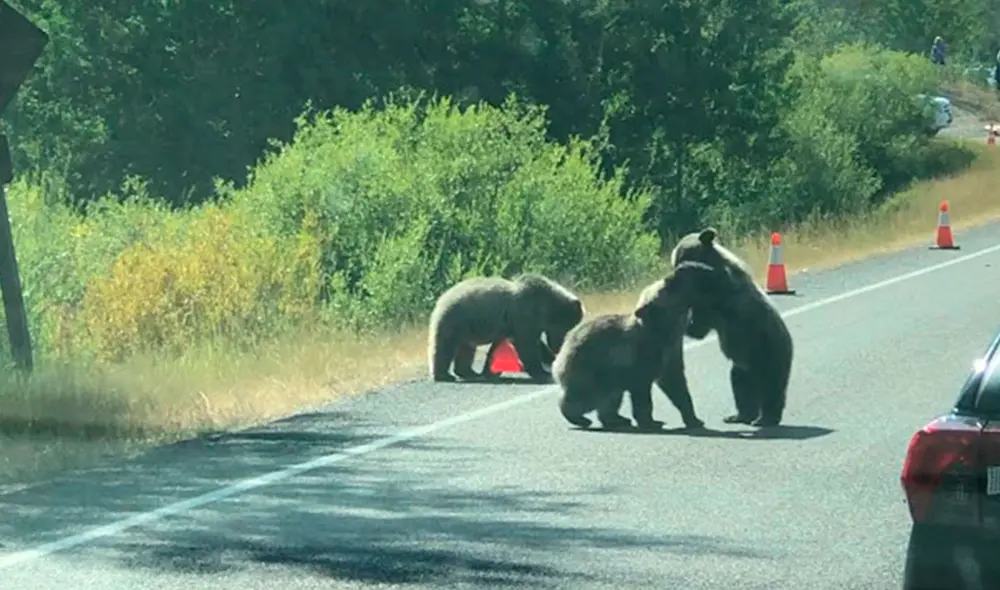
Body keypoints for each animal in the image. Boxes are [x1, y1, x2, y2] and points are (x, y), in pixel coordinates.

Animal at [427, 273, 584, 383]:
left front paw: (489, 371)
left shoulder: (511, 326)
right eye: (568, 328)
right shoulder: (523, 317)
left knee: (466, 349)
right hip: (454, 319)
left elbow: (500, 347)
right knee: (444, 346)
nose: (559, 347)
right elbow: (527, 345)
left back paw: (469, 372)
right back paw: (444, 375)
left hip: (468, 328)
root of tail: (442, 297)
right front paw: (543, 373)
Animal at [554, 260, 730, 430]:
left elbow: (676, 384)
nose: (675, 272)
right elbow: (642, 391)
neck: (664, 331)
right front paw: (650, 421)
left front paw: (694, 419)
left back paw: (617, 419)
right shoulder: (642, 355)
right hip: (592, 368)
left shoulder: (671, 351)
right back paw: (579, 417)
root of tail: (563, 348)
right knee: (586, 396)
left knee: (611, 398)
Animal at [669, 227, 794, 427]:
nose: (675, 272)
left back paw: (766, 418)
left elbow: (723, 282)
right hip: (744, 365)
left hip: (769, 350)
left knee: (773, 387)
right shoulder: (703, 309)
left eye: (680, 257)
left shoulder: (728, 288)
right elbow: (697, 329)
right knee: (740, 386)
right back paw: (740, 415)